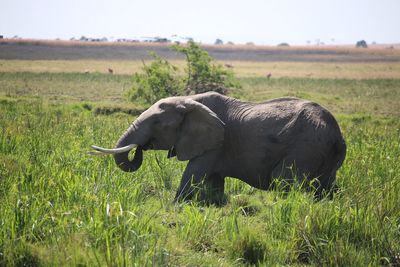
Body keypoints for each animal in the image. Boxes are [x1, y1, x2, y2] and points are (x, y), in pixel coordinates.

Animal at [91, 92, 346, 203]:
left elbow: (193, 173)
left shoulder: (214, 143)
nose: (140, 147)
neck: (189, 100)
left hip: (305, 148)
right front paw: (213, 205)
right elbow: (213, 180)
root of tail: (337, 133)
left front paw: (175, 205)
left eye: (156, 123)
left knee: (283, 179)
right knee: (327, 186)